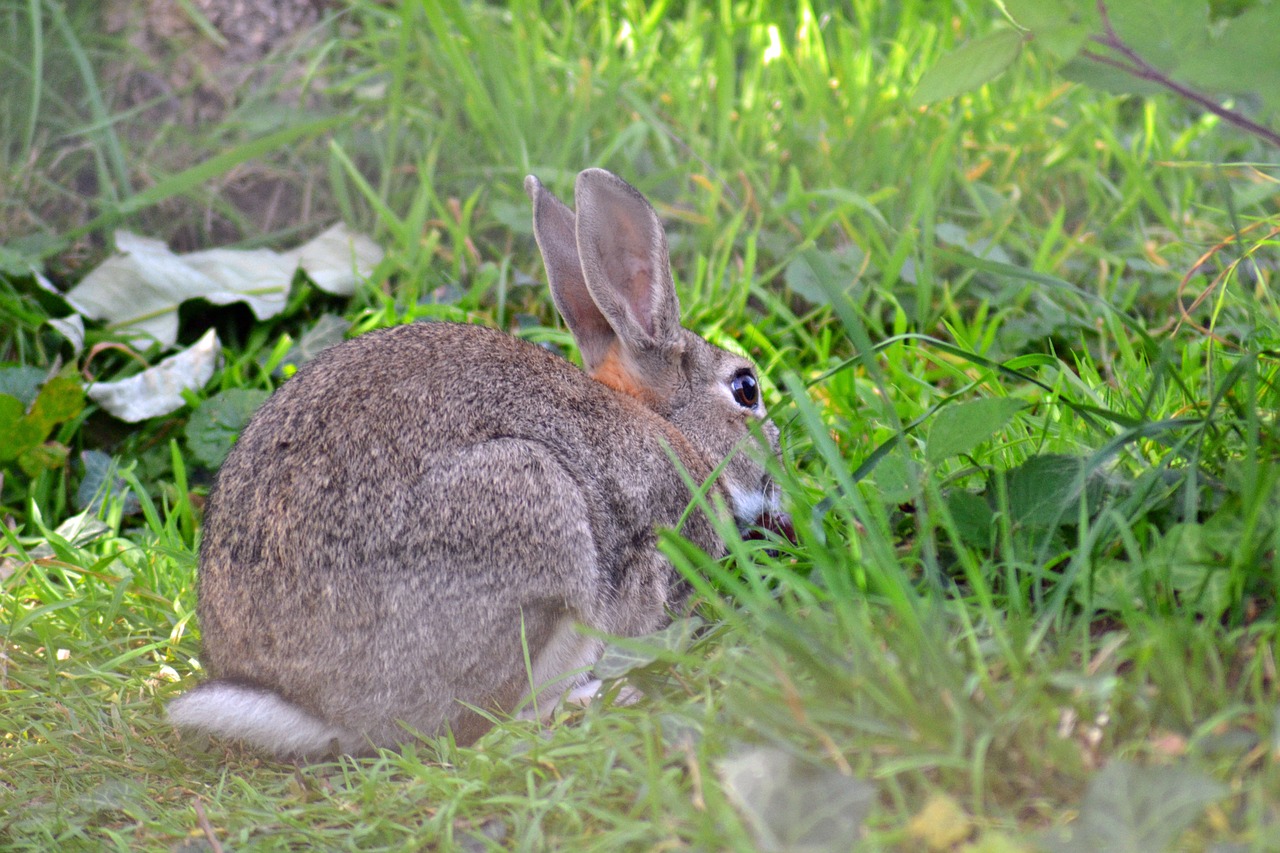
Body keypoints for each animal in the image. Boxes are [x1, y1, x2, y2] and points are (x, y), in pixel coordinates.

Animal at [167, 167, 788, 758]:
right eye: (746, 389)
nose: (781, 491)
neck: (674, 433)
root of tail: (315, 709)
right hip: (535, 521)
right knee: (481, 727)